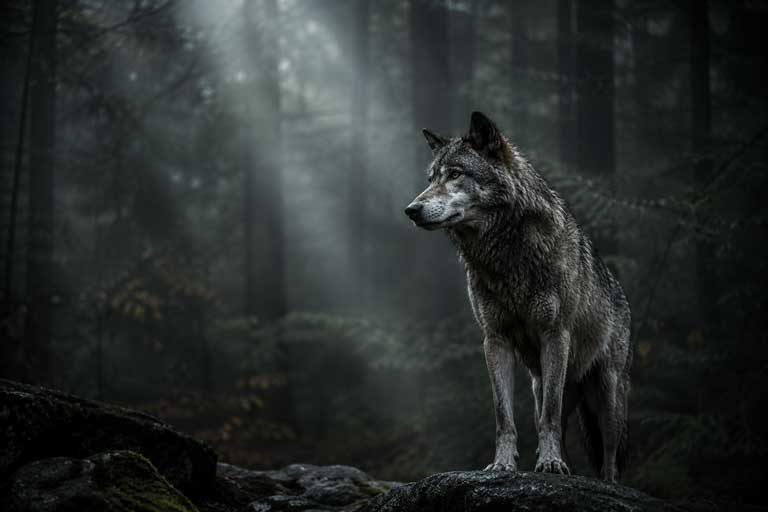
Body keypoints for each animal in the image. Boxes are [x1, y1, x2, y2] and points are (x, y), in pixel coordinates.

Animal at [404, 112, 632, 481]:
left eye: (455, 174)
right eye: (430, 178)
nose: (411, 210)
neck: (506, 257)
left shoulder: (555, 335)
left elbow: (549, 416)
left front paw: (550, 465)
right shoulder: (495, 339)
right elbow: (505, 417)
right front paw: (503, 465)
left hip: (607, 395)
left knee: (609, 452)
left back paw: (607, 482)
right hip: (541, 384)